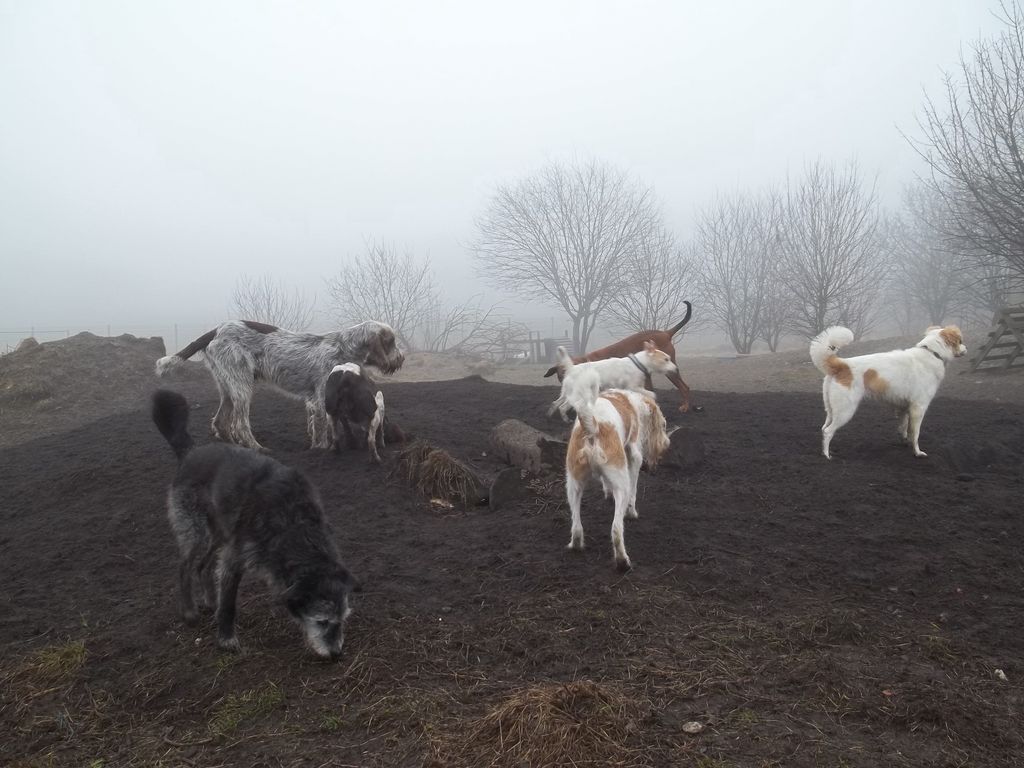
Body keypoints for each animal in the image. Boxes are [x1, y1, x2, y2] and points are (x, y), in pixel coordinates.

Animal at [151, 389, 360, 659]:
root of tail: (189, 452)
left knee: (203, 566)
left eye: (343, 619)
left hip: (219, 535)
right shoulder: (233, 562)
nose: (336, 655)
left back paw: (210, 601)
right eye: (322, 621)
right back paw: (188, 611)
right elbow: (229, 604)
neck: (293, 522)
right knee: (185, 566)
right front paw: (226, 639)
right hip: (197, 533)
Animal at [155, 320, 404, 451]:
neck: (343, 347)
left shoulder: (312, 402)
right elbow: (323, 428)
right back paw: (257, 448)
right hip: (242, 386)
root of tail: (217, 330)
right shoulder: (321, 399)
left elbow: (314, 426)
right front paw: (322, 448)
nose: (402, 358)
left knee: (220, 422)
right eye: (391, 342)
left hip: (228, 387)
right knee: (239, 424)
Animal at [548, 340, 678, 421]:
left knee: (555, 403)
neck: (638, 363)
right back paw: (567, 420)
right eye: (666, 359)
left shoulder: (635, 388)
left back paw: (551, 415)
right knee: (562, 407)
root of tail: (571, 368)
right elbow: (652, 394)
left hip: (566, 393)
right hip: (579, 394)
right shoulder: (633, 387)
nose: (676, 368)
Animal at [564, 376, 676, 571]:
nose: (667, 443)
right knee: (616, 529)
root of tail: (593, 428)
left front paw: (607, 493)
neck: (633, 402)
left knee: (576, 527)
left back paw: (576, 545)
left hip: (573, 486)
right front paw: (632, 512)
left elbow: (605, 484)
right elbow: (634, 491)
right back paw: (623, 561)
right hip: (621, 485)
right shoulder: (634, 456)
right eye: (663, 425)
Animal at [810, 325, 966, 460]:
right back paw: (827, 456)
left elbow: (903, 428)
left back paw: (824, 451)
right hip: (845, 411)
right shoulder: (918, 408)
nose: (966, 348)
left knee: (824, 428)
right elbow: (915, 433)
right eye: (960, 341)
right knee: (828, 431)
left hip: (831, 410)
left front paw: (905, 442)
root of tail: (843, 364)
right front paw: (917, 452)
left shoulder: (904, 408)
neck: (932, 353)